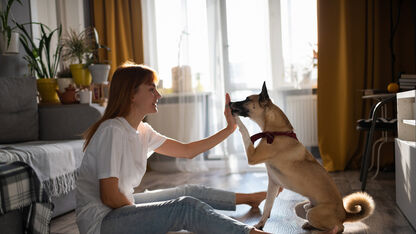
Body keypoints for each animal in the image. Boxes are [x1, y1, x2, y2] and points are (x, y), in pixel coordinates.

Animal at [229, 82, 376, 232]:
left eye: (247, 99)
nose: (229, 103)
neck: (277, 132)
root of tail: (344, 213)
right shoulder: (273, 183)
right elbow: (267, 206)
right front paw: (260, 225)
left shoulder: (252, 156)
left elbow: (244, 131)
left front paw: (235, 118)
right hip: (301, 207)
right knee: (309, 213)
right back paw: (308, 224)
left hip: (314, 214)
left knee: (339, 227)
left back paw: (328, 228)